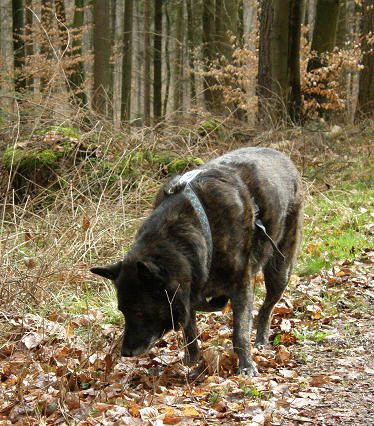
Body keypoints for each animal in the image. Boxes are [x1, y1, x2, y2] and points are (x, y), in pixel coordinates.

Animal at [91, 148, 304, 374]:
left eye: (139, 312)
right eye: (122, 311)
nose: (125, 352)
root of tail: (282, 156)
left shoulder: (241, 287)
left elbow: (240, 333)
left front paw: (245, 365)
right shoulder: (189, 292)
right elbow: (190, 334)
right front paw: (191, 362)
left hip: (280, 269)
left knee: (267, 307)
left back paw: (262, 338)